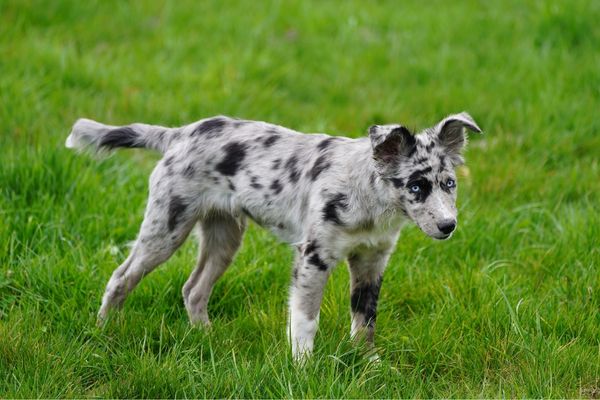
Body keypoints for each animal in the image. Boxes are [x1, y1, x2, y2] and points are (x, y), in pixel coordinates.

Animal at [64, 111, 482, 360]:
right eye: (415, 187)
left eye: (449, 184)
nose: (448, 226)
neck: (367, 200)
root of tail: (181, 133)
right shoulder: (313, 258)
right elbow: (305, 319)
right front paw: (304, 368)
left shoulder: (371, 262)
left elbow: (365, 321)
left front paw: (371, 365)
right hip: (165, 230)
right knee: (121, 277)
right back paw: (104, 331)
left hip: (224, 237)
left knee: (193, 289)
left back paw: (207, 339)